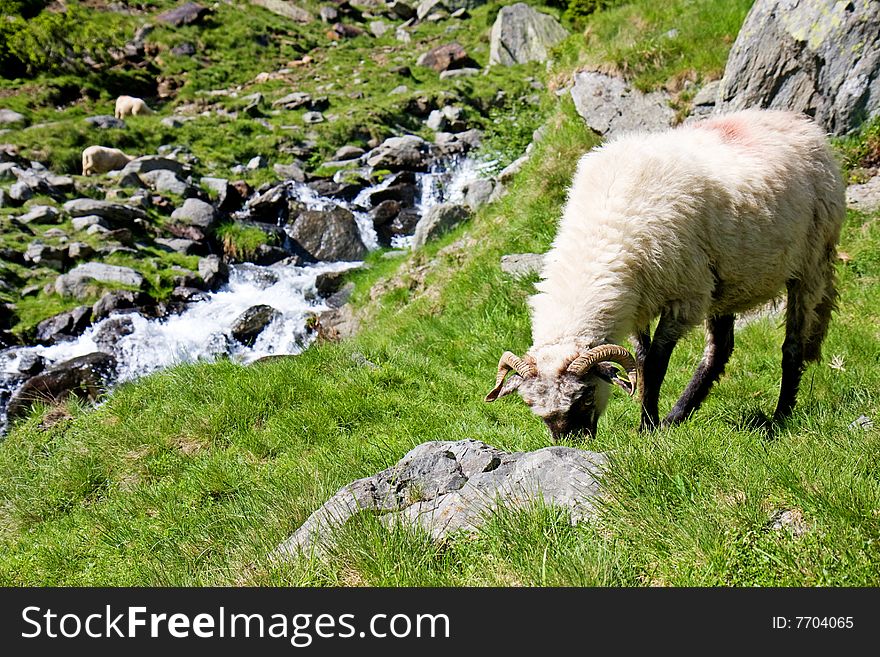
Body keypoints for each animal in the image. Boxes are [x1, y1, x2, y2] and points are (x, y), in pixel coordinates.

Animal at [488, 109, 844, 440]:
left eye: (585, 395)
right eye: (533, 407)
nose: (573, 443)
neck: (600, 234)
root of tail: (795, 120)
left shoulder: (684, 298)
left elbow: (656, 364)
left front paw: (647, 426)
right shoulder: (638, 304)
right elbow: (642, 359)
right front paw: (652, 419)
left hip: (811, 261)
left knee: (792, 346)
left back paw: (780, 415)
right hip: (728, 282)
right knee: (719, 350)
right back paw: (678, 415)